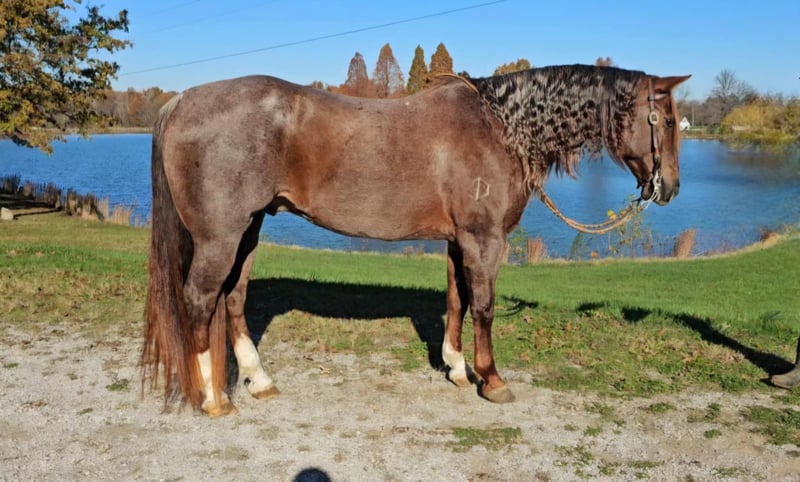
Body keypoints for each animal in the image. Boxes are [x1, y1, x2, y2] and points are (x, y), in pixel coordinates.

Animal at [142, 64, 689, 417]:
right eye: (664, 120)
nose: (669, 189)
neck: (499, 129)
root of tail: (180, 102)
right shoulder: (484, 239)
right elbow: (484, 306)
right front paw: (492, 380)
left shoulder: (458, 240)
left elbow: (456, 301)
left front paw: (457, 369)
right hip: (221, 237)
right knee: (200, 300)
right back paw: (214, 399)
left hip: (249, 229)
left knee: (233, 299)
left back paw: (258, 382)